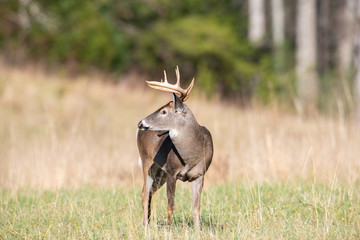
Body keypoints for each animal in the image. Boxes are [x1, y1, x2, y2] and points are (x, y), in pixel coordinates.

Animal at [136, 66, 212, 230]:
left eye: (164, 111)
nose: (140, 123)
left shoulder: (200, 175)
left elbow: (196, 207)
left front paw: (198, 231)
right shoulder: (172, 171)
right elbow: (171, 205)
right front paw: (169, 229)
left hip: (160, 173)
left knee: (150, 192)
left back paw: (148, 222)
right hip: (147, 161)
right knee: (144, 193)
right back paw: (145, 226)